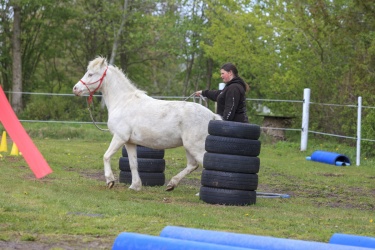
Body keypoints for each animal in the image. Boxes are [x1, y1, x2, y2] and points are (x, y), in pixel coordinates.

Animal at [72, 57, 222, 191]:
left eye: (91, 74)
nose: (75, 89)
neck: (123, 102)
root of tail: (212, 116)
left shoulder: (119, 137)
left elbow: (106, 156)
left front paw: (110, 181)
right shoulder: (129, 142)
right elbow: (133, 164)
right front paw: (135, 186)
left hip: (195, 147)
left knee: (206, 164)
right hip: (188, 147)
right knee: (192, 165)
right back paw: (171, 184)